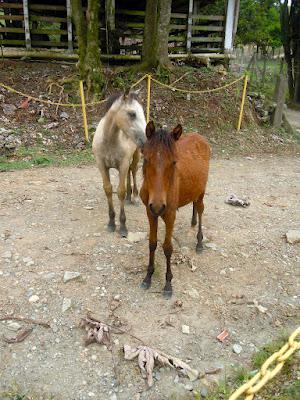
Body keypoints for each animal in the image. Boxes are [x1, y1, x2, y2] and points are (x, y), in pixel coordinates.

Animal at [92, 92, 146, 236]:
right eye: (132, 114)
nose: (146, 139)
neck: (109, 140)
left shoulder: (123, 164)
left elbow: (120, 191)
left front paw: (122, 226)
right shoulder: (102, 166)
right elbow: (108, 190)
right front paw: (111, 223)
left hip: (135, 156)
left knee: (133, 171)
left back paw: (135, 197)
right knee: (129, 174)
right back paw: (128, 197)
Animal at [139, 121, 210, 296]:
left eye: (174, 162)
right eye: (146, 159)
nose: (158, 206)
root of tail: (200, 137)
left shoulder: (170, 215)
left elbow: (167, 248)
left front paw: (168, 283)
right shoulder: (150, 212)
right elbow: (152, 243)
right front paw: (148, 277)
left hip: (201, 191)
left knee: (200, 209)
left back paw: (199, 242)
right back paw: (192, 222)